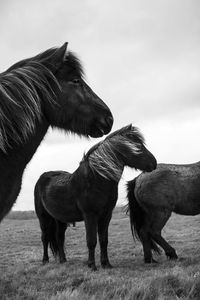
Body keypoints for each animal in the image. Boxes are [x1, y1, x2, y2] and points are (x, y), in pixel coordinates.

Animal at [34, 123, 156, 270]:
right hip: (43, 218)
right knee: (45, 237)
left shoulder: (106, 215)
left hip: (60, 219)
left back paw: (63, 260)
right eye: (137, 146)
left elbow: (103, 240)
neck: (97, 179)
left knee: (59, 237)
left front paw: (106, 264)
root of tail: (43, 177)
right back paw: (45, 260)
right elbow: (91, 241)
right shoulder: (89, 215)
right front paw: (92, 265)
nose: (154, 163)